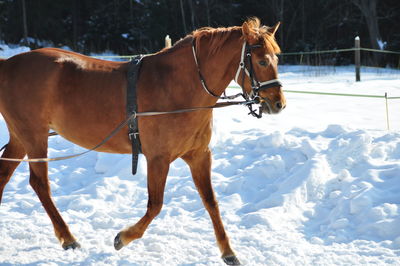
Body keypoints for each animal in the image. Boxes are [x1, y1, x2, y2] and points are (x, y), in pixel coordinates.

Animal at [1, 17, 286, 264]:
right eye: (261, 61)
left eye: (277, 58)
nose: (278, 104)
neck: (178, 86)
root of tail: (8, 65)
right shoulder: (158, 159)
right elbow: (155, 205)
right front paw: (123, 237)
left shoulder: (199, 156)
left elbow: (211, 202)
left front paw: (228, 252)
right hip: (34, 136)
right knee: (40, 184)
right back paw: (68, 237)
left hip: (21, 137)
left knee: (5, 174)